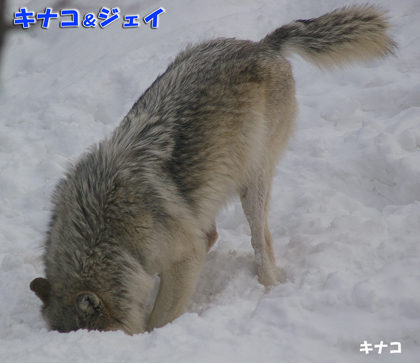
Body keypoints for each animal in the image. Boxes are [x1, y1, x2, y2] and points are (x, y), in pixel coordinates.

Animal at [28, 4, 394, 336]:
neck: (107, 232)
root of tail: (264, 44)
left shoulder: (185, 258)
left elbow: (160, 318)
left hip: (252, 185)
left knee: (262, 241)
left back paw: (268, 287)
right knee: (218, 232)